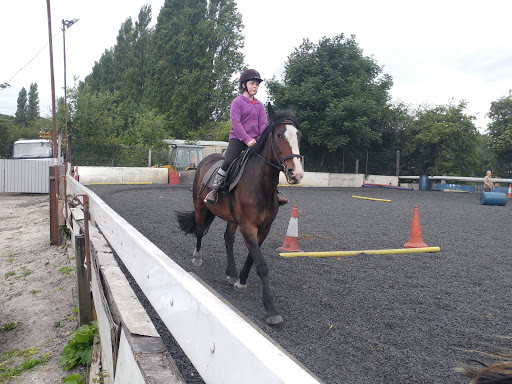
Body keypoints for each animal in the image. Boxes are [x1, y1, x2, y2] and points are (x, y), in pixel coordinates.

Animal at [177, 103, 304, 324]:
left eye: (298, 135)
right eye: (279, 135)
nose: (296, 173)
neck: (260, 185)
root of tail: (205, 160)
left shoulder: (264, 228)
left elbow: (253, 258)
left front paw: (242, 280)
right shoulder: (248, 227)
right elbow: (261, 264)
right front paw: (271, 309)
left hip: (232, 218)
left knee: (228, 239)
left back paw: (232, 273)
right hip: (201, 207)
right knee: (200, 231)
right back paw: (198, 257)